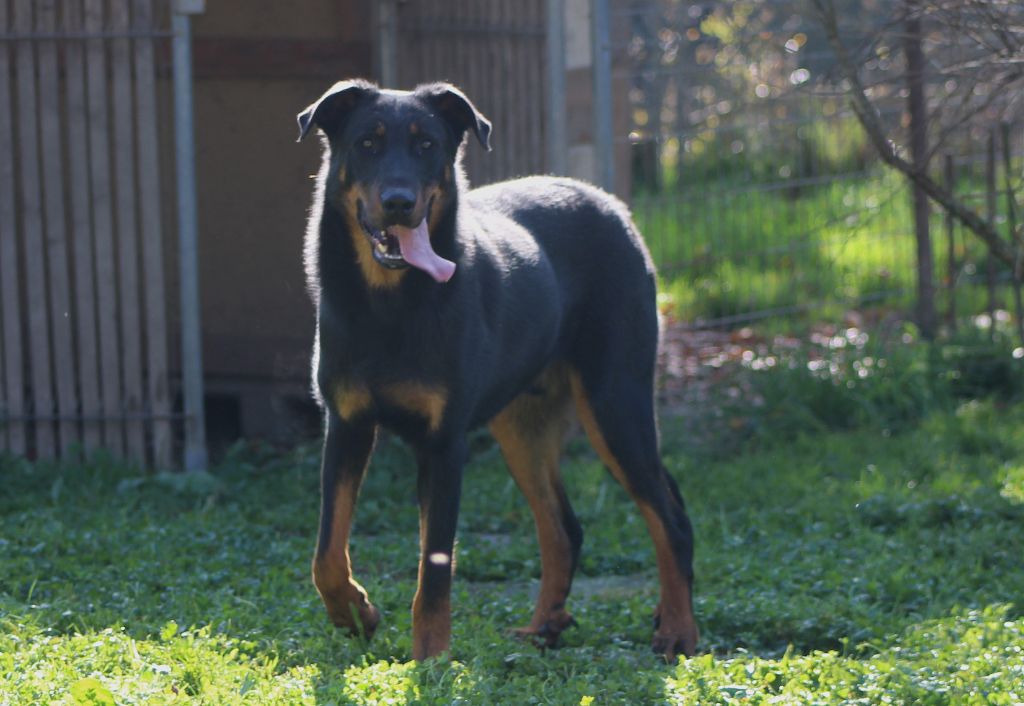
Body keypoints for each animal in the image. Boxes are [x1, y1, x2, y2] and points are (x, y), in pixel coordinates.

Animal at [294, 79, 696, 659]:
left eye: (427, 145)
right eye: (367, 143)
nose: (399, 203)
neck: (390, 303)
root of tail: (612, 204)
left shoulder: (444, 444)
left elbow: (435, 568)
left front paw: (430, 658)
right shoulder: (346, 425)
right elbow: (326, 552)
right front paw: (355, 614)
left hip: (615, 402)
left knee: (668, 516)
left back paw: (678, 630)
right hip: (522, 426)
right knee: (564, 528)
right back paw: (543, 628)